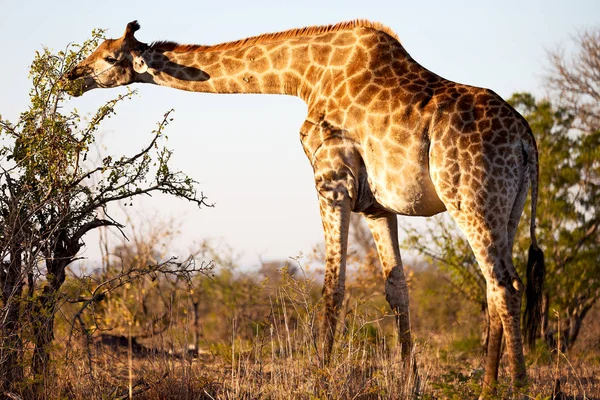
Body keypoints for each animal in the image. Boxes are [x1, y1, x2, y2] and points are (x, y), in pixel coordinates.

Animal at [64, 19, 544, 396]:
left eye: (109, 57)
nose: (71, 75)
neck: (304, 77)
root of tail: (526, 139)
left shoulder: (331, 179)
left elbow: (333, 285)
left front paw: (321, 378)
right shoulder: (376, 204)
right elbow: (397, 289)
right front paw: (412, 384)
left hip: (470, 198)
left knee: (505, 285)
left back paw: (519, 387)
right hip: (508, 207)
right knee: (495, 285)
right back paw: (487, 389)